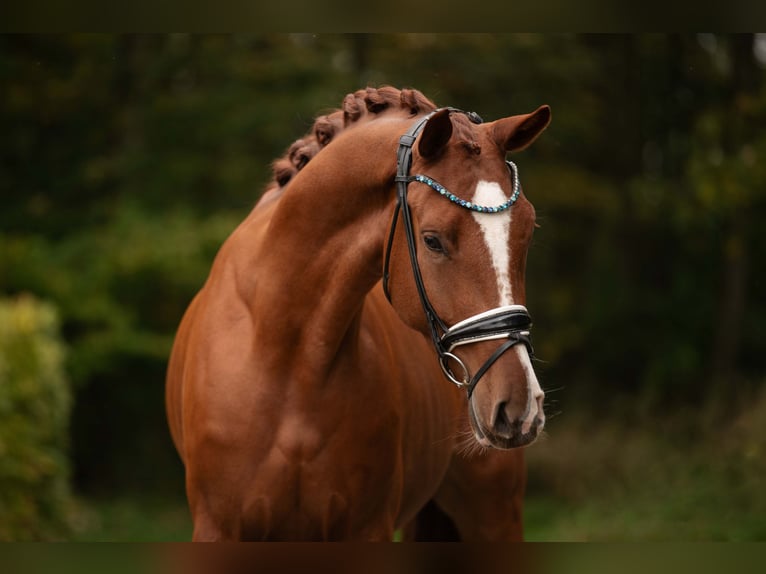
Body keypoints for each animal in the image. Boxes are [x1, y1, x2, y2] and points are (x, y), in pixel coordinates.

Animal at [166, 88, 552, 544]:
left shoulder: (367, 528)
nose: (520, 407)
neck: (286, 352)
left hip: (494, 513)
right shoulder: (218, 529)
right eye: (432, 240)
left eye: (527, 232)